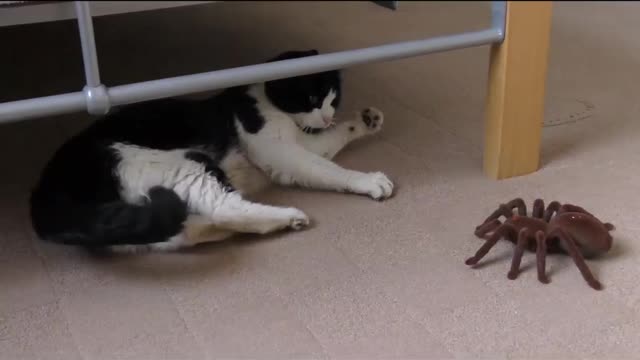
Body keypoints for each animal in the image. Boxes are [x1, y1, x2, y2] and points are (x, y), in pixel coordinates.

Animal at [30, 50, 396, 253]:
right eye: (311, 98)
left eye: (334, 99)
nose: (328, 115)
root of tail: (46, 193)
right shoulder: (280, 152)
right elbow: (325, 169)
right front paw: (370, 181)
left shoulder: (303, 141)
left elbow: (330, 142)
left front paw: (364, 121)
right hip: (179, 164)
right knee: (225, 207)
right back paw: (288, 217)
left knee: (179, 230)